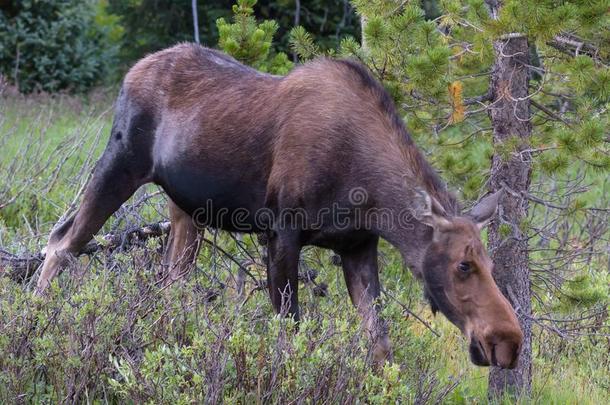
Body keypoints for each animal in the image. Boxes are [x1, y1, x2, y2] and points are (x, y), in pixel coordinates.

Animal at [36, 43, 524, 366]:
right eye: (464, 265)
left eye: (491, 264)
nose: (508, 341)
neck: (368, 194)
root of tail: (132, 70)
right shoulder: (283, 231)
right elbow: (291, 332)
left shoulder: (357, 246)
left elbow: (381, 346)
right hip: (120, 163)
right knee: (61, 242)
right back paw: (34, 320)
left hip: (186, 210)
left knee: (168, 281)